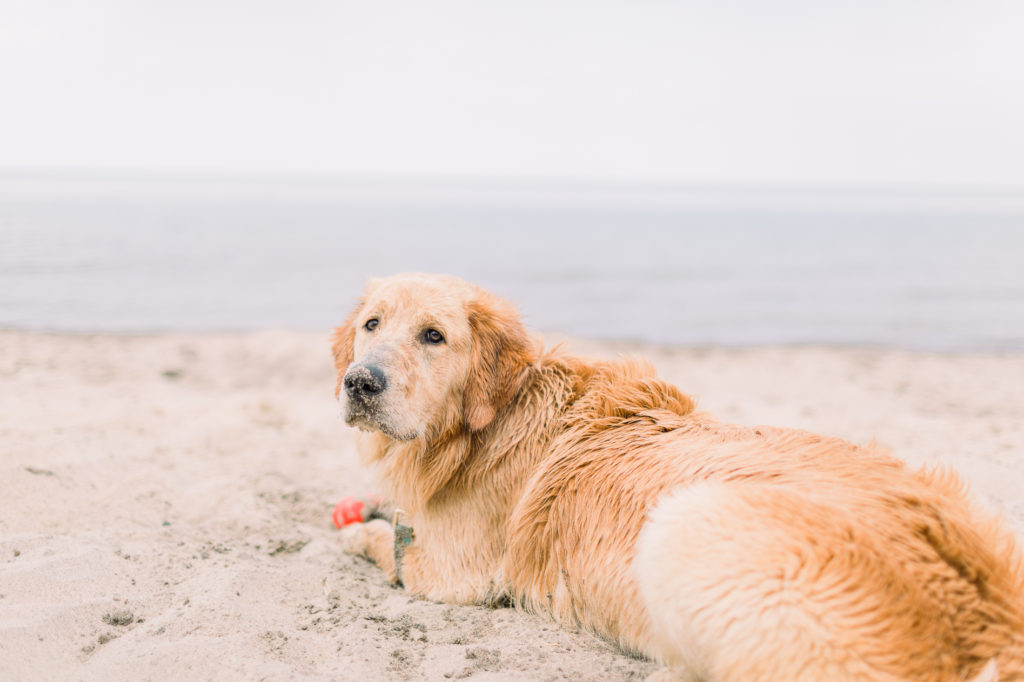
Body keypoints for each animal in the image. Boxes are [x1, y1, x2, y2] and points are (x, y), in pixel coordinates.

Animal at [333, 272, 1024, 679]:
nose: (360, 382)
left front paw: (360, 529)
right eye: (372, 324)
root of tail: (983, 615)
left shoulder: (451, 576)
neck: (489, 420)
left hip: (683, 520)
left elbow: (387, 544)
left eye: (434, 336)